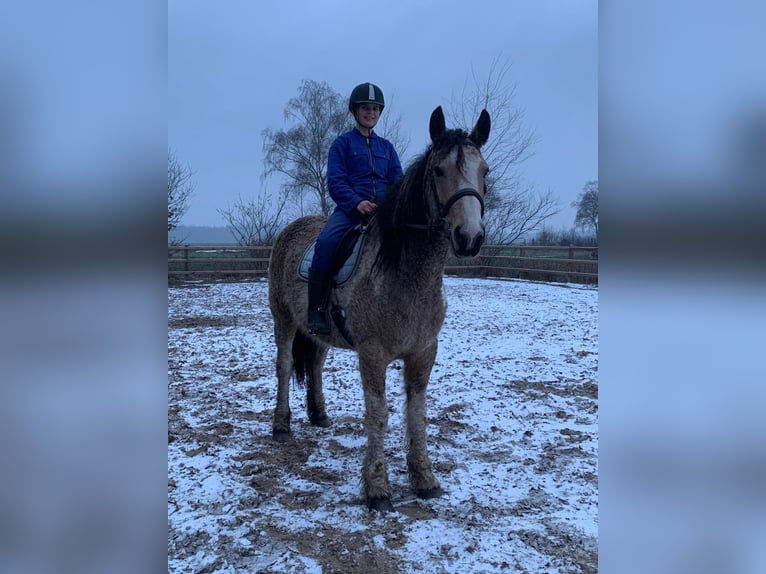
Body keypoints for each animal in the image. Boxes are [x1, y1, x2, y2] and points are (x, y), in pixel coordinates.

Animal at [267, 105, 491, 512]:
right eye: (438, 171)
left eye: (485, 171)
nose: (469, 238)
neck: (406, 273)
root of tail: (293, 229)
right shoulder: (372, 355)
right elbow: (377, 416)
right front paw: (377, 488)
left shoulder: (423, 352)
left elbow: (416, 415)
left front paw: (424, 479)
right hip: (284, 320)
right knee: (285, 365)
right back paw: (281, 425)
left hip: (318, 331)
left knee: (316, 364)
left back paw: (319, 415)